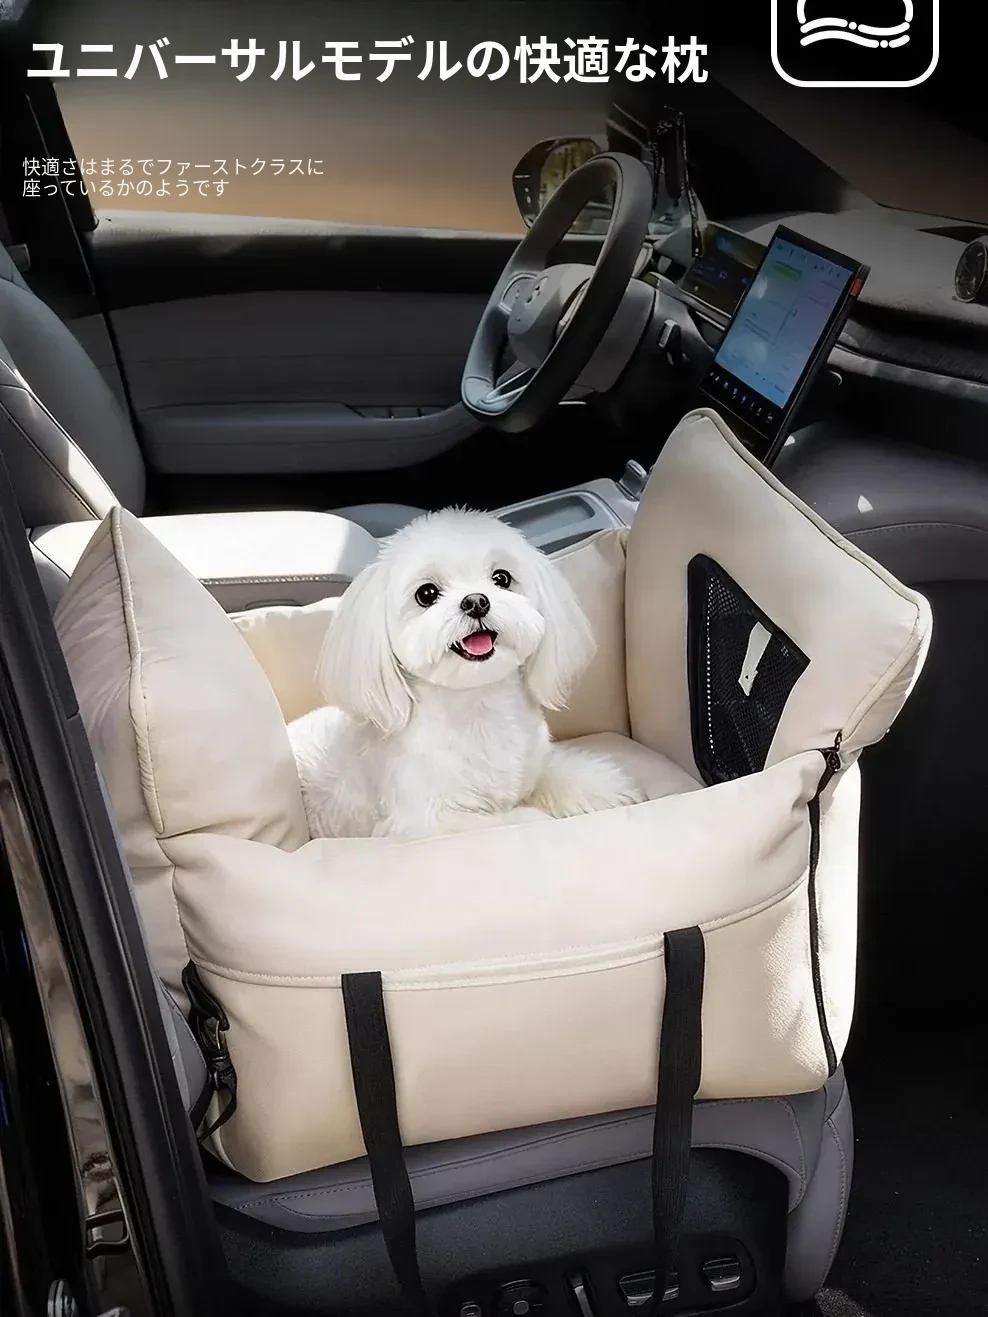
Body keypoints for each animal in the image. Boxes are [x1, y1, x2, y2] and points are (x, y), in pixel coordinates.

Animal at [288, 508, 645, 840]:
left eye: (501, 578)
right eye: (427, 594)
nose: (476, 601)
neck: (479, 706)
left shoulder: (533, 765)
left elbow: (557, 772)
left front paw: (606, 788)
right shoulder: (426, 820)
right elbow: (515, 819)